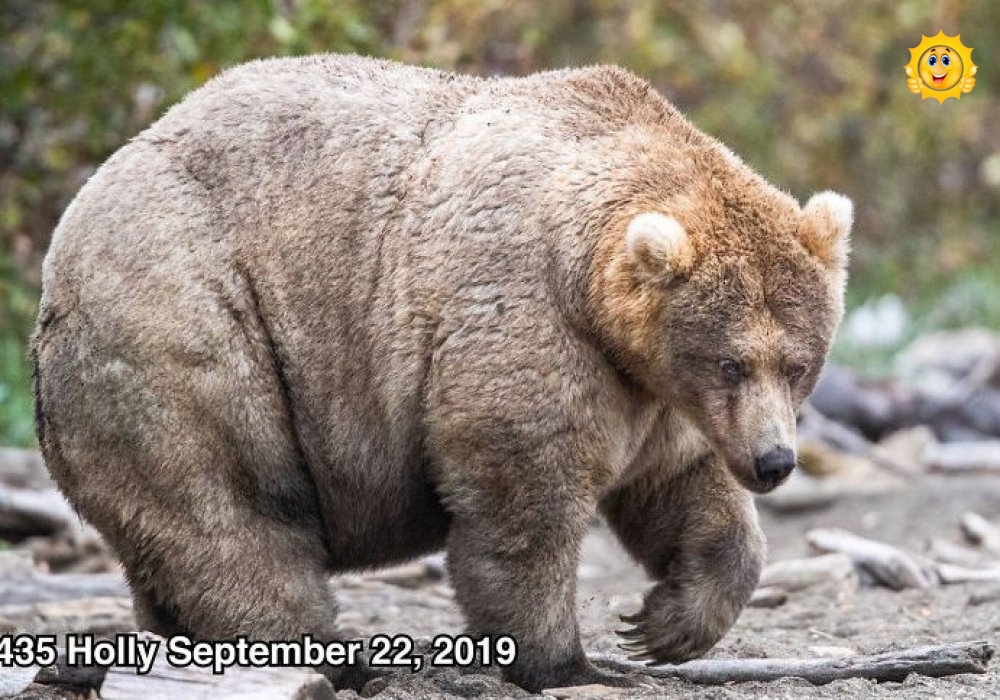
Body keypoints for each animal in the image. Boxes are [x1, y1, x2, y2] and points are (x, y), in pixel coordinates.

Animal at [35, 53, 852, 688]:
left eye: (798, 363)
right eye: (732, 361)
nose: (775, 461)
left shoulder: (653, 392)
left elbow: (680, 487)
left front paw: (664, 624)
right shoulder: (525, 318)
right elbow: (523, 497)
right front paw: (564, 660)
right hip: (187, 316)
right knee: (231, 502)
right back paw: (320, 649)